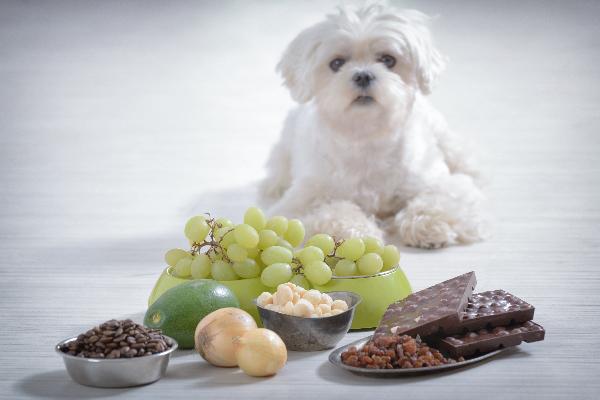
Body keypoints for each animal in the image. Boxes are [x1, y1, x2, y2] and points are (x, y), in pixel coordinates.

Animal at [258, 3, 488, 248]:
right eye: (336, 63)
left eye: (388, 60)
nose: (363, 75)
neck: (366, 136)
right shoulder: (301, 201)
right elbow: (333, 211)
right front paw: (354, 233)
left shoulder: (439, 181)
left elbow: (440, 199)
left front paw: (430, 223)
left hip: (448, 141)